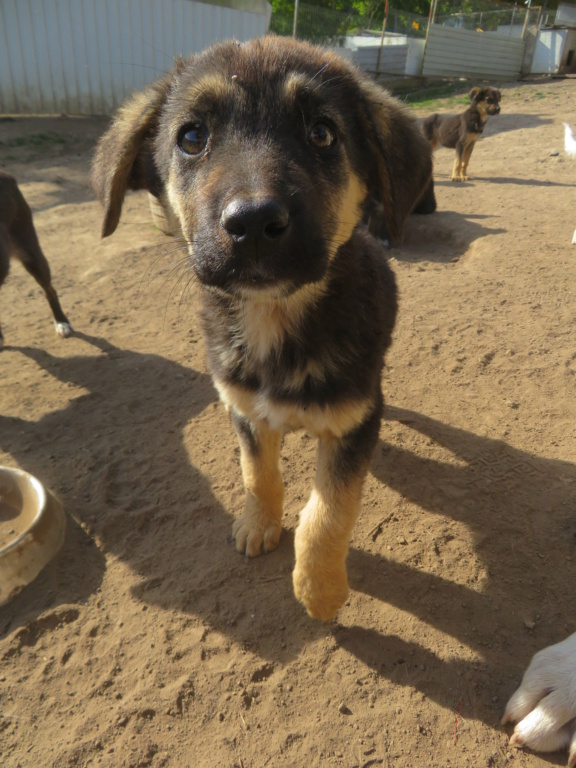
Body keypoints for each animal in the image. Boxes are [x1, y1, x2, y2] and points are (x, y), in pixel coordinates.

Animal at [92, 37, 434, 624]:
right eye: (191, 137)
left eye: (322, 133)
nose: (252, 222)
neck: (272, 320)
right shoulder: (244, 409)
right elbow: (258, 474)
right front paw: (258, 525)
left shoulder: (353, 423)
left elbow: (329, 510)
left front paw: (319, 590)